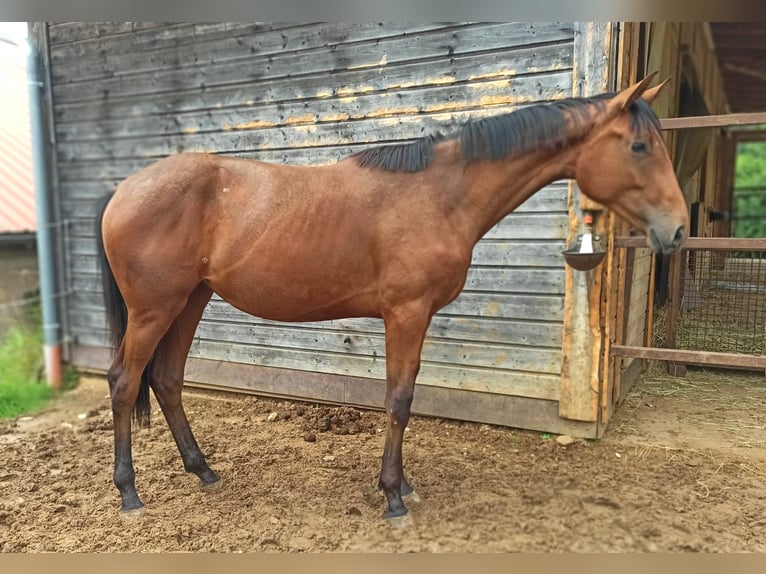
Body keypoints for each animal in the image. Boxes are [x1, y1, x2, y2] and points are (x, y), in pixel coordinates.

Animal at [96, 74, 688, 520]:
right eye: (639, 146)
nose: (678, 230)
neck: (439, 194)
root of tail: (125, 188)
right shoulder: (406, 313)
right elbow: (399, 401)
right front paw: (392, 497)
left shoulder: (411, 317)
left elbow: (403, 395)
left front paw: (401, 486)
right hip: (154, 309)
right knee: (125, 382)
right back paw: (129, 493)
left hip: (190, 301)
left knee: (167, 381)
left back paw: (203, 470)